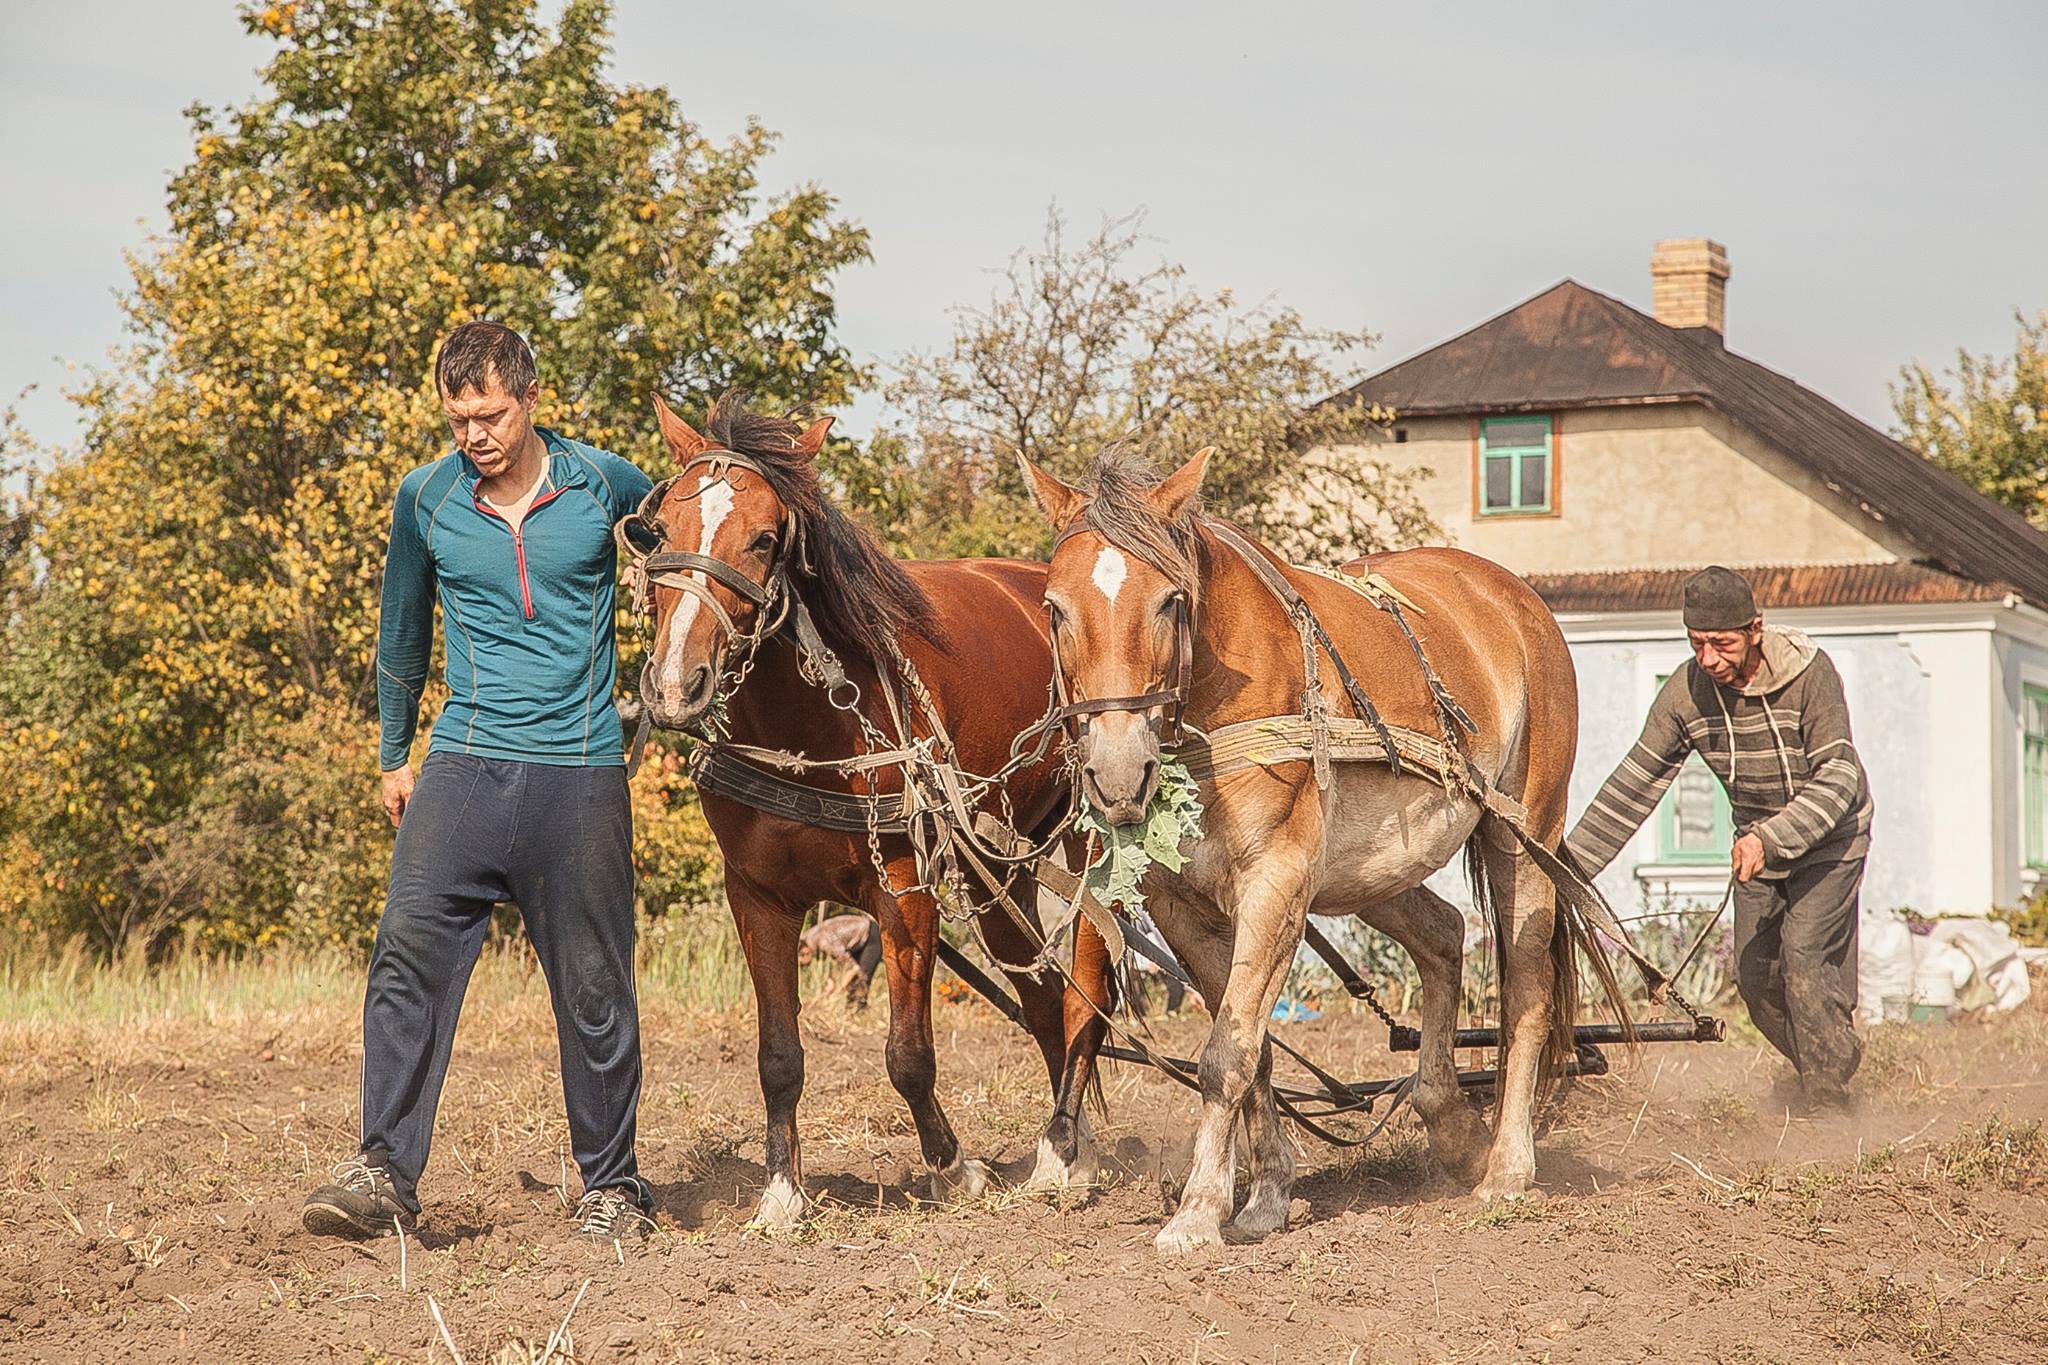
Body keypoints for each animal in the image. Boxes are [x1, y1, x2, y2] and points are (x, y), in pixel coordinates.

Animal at [643, 392, 1114, 1227]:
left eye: (765, 539)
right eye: (661, 529)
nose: (674, 685)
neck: (810, 729)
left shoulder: (905, 890)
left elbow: (908, 1053)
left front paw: (954, 1169)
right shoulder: (756, 897)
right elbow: (778, 1057)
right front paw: (780, 1194)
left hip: (1081, 846)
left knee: (1085, 991)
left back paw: (1062, 1157)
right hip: (997, 868)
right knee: (1041, 998)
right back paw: (1069, 1144)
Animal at [1024, 450, 1613, 1260]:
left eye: (1171, 602)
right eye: (1055, 608)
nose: (1118, 773)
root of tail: (1516, 599)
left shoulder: (1278, 881)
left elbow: (1225, 1053)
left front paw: (1197, 1213)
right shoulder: (1184, 906)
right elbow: (1253, 1046)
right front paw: (1268, 1194)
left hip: (1523, 836)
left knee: (1526, 992)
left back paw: (1506, 1167)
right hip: (1372, 868)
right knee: (1442, 936)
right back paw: (1450, 1124)